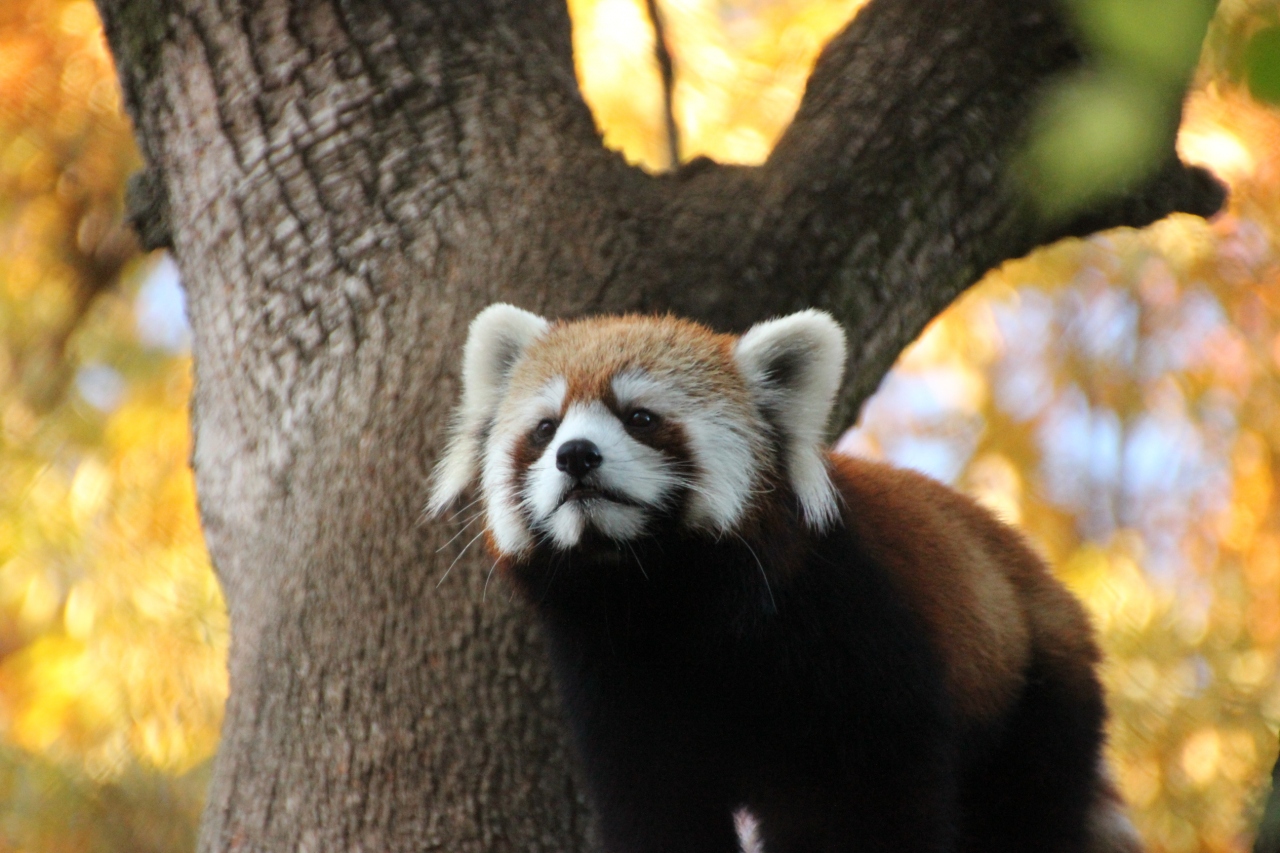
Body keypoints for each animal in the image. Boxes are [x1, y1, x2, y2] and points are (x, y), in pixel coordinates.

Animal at [427, 303, 1141, 850]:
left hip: (1034, 696)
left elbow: (871, 807)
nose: (576, 456)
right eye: (545, 429)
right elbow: (658, 808)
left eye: (640, 418)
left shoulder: (851, 638)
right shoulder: (617, 683)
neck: (662, 596)